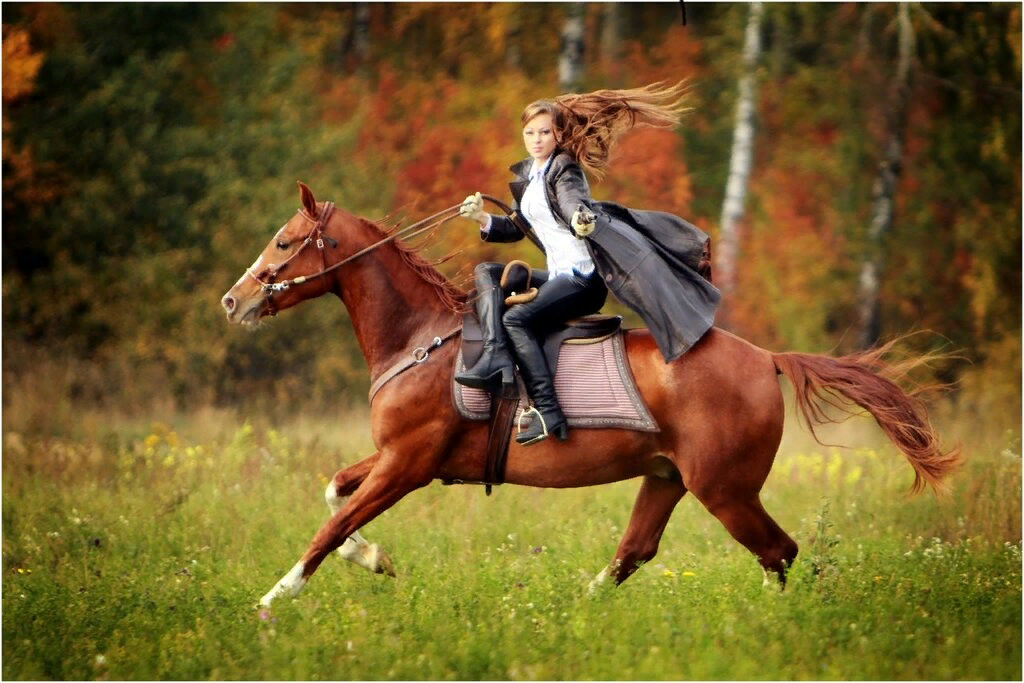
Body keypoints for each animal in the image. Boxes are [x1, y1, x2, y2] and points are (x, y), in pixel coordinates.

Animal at [222, 183, 958, 610]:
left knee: (777, 551)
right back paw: (578, 611)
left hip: (725, 489)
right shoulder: (395, 459)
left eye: (285, 242)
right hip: (667, 478)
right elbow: (334, 495)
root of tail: (766, 358)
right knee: (636, 552)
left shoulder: (409, 464)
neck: (420, 339)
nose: (233, 300)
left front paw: (272, 601)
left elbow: (329, 526)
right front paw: (374, 559)